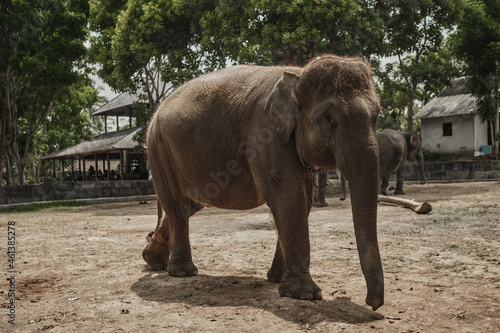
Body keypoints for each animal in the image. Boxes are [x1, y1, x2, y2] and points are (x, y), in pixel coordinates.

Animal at [143, 55, 384, 312]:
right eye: (329, 118)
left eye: (377, 116)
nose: (372, 304)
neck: (298, 74)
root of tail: (156, 112)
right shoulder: (264, 134)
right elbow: (289, 196)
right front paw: (304, 294)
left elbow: (302, 200)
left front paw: (277, 279)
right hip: (158, 148)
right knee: (177, 206)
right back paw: (183, 272)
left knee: (192, 204)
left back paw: (152, 259)